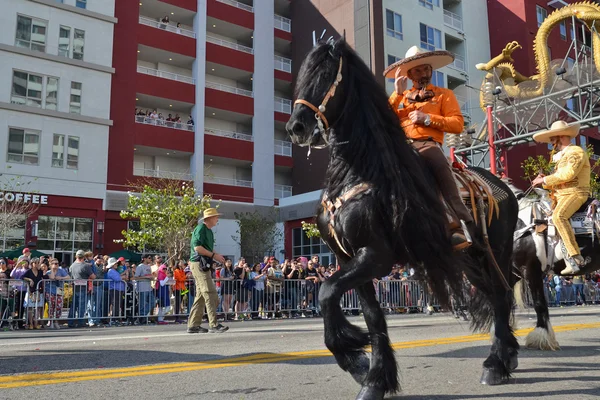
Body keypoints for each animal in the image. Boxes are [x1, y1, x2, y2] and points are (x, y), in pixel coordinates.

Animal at [286, 38, 520, 400]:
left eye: (324, 74)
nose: (296, 127)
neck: (358, 171)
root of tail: (502, 186)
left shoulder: (376, 255)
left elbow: (326, 291)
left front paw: (356, 356)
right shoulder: (348, 258)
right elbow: (369, 314)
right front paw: (371, 375)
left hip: (498, 249)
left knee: (504, 294)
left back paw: (497, 363)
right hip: (471, 259)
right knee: (496, 296)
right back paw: (504, 358)